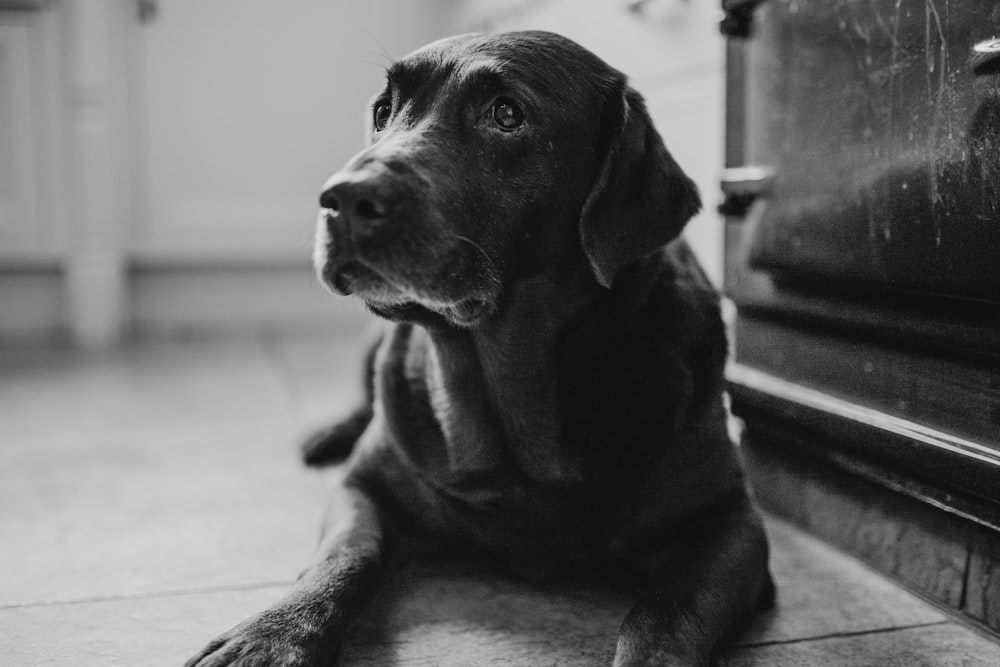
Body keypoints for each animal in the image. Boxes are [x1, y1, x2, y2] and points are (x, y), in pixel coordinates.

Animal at [186, 30, 772, 667]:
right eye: (383, 111)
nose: (341, 197)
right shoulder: (362, 488)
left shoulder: (732, 523)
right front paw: (273, 634)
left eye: (506, 114)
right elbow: (343, 557)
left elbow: (667, 614)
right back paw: (326, 433)